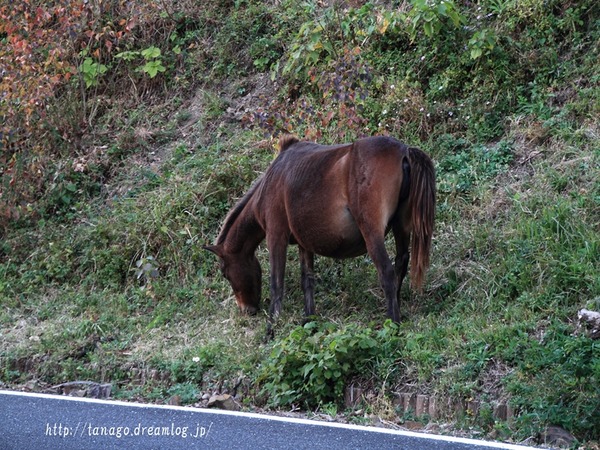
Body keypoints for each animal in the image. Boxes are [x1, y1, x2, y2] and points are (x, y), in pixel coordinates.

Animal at [204, 135, 434, 332]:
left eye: (225, 273)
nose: (247, 310)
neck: (270, 184)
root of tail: (404, 150)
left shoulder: (276, 236)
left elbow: (276, 285)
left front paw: (270, 330)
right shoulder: (304, 244)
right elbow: (307, 281)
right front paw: (309, 320)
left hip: (372, 233)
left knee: (387, 272)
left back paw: (392, 324)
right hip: (400, 226)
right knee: (400, 263)